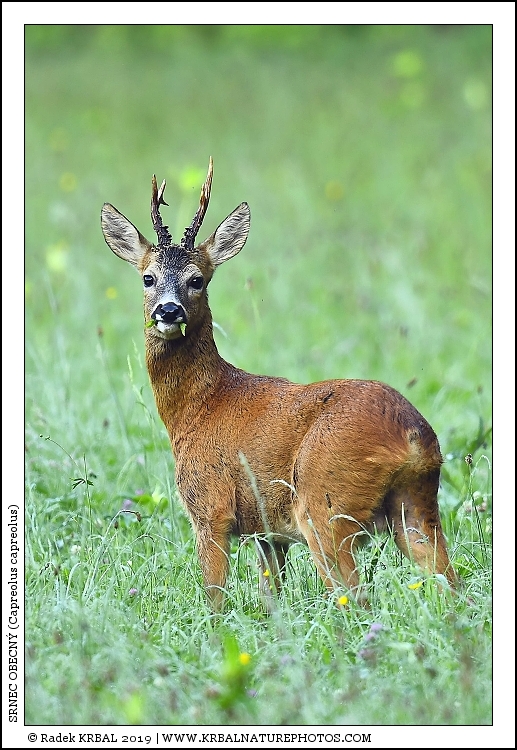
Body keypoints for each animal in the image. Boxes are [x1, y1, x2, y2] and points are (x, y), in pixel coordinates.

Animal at [101, 157, 456, 611]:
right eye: (148, 278)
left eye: (197, 279)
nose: (168, 311)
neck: (198, 408)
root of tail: (414, 435)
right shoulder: (267, 532)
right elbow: (271, 600)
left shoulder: (210, 507)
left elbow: (215, 600)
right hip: (416, 506)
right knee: (452, 584)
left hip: (325, 504)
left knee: (356, 598)